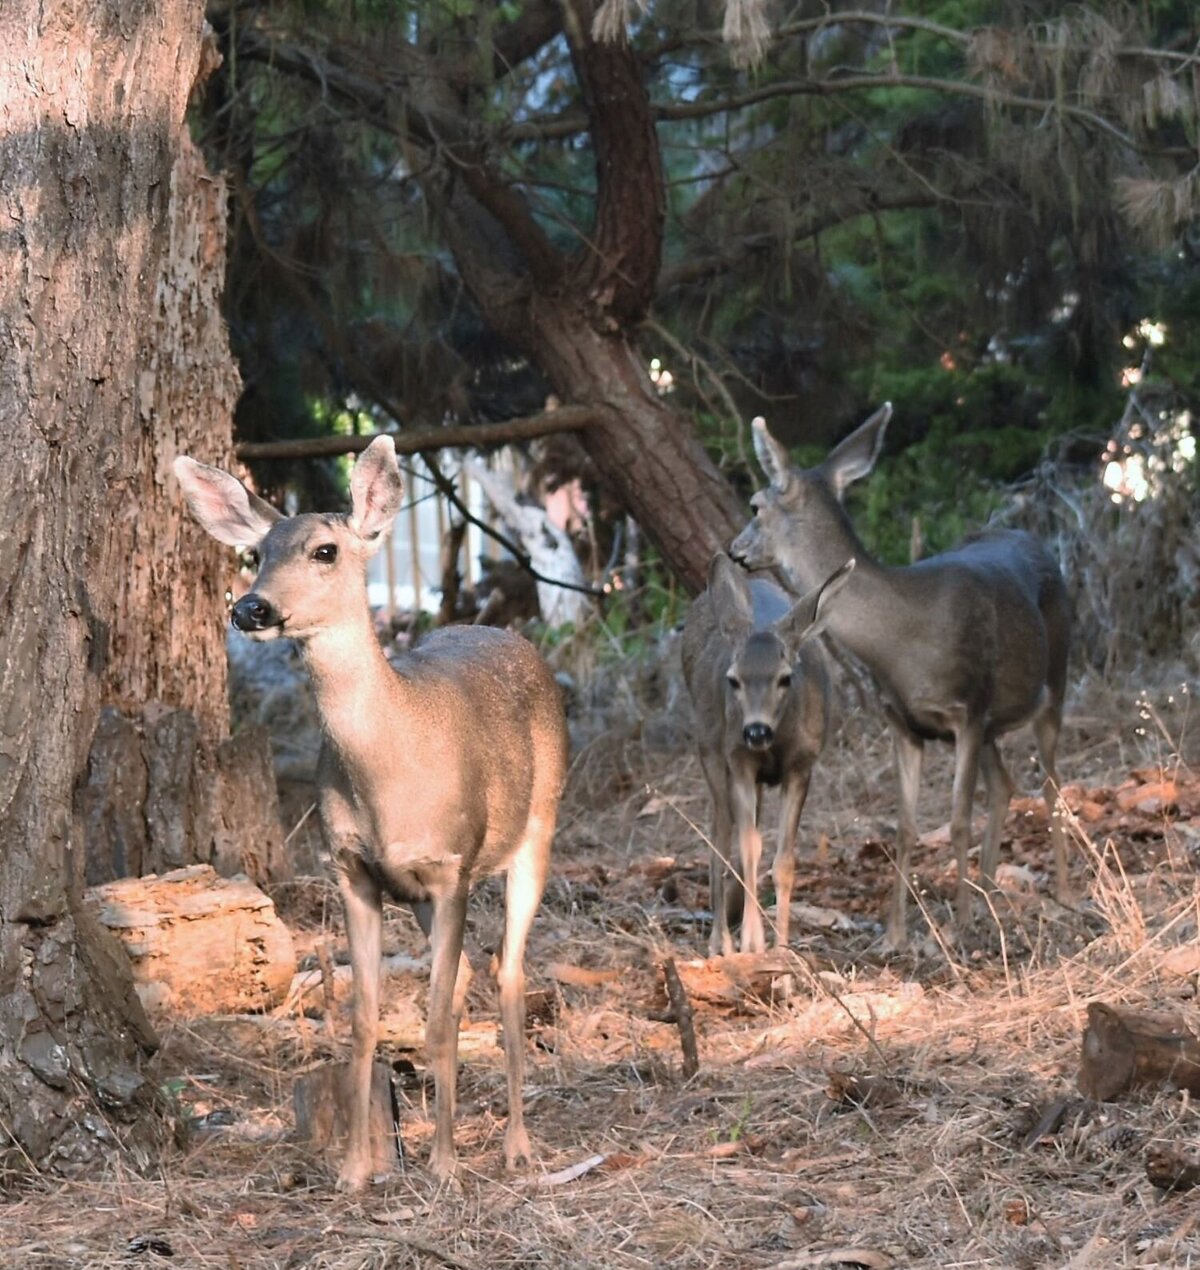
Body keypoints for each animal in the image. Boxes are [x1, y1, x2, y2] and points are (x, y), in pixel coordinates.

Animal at [172, 439, 566, 1188]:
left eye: (325, 550)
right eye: (257, 551)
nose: (251, 608)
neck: (389, 772)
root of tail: (512, 636)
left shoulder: (452, 865)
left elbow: (436, 1019)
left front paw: (444, 1166)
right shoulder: (352, 869)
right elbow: (363, 1019)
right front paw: (355, 1168)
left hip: (538, 827)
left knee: (508, 973)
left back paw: (517, 1145)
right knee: (467, 976)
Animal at [685, 551, 853, 955]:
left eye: (785, 677)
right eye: (733, 680)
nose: (756, 730)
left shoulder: (802, 765)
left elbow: (784, 861)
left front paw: (783, 945)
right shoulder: (739, 760)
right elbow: (749, 850)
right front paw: (752, 943)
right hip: (711, 748)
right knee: (719, 836)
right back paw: (719, 941)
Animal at [726, 408, 1071, 955]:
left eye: (756, 505)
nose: (734, 550)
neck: (903, 639)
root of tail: (1037, 540)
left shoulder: (968, 710)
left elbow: (956, 819)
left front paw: (958, 925)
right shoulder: (904, 723)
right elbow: (906, 828)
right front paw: (894, 934)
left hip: (1054, 678)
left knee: (1053, 784)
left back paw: (1060, 892)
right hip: (994, 724)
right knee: (1005, 783)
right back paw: (990, 892)